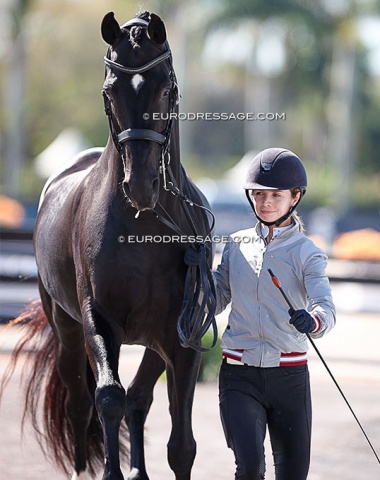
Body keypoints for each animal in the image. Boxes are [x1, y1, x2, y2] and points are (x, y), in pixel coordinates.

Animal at [0, 11, 215, 480]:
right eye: (110, 90)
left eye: (166, 88)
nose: (140, 185)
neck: (146, 228)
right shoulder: (98, 321)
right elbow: (107, 398)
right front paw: (110, 471)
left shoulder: (182, 339)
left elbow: (181, 444)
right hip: (66, 330)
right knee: (83, 402)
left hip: (152, 343)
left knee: (138, 398)